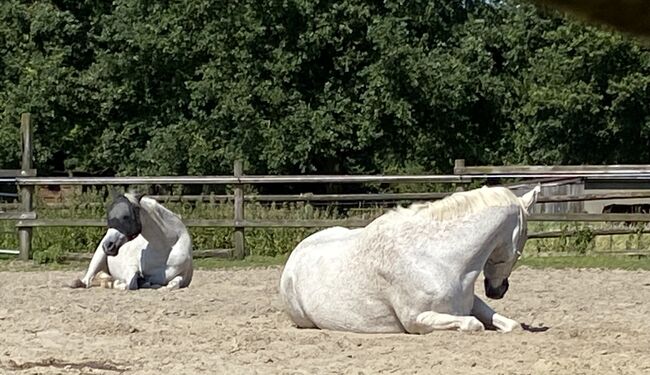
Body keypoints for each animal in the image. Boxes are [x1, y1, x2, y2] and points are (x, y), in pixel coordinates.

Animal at [278, 186, 536, 334]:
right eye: (525, 235)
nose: (498, 290)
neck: (439, 258)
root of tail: (295, 255)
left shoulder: (470, 304)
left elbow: (511, 325)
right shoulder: (416, 320)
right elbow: (474, 325)